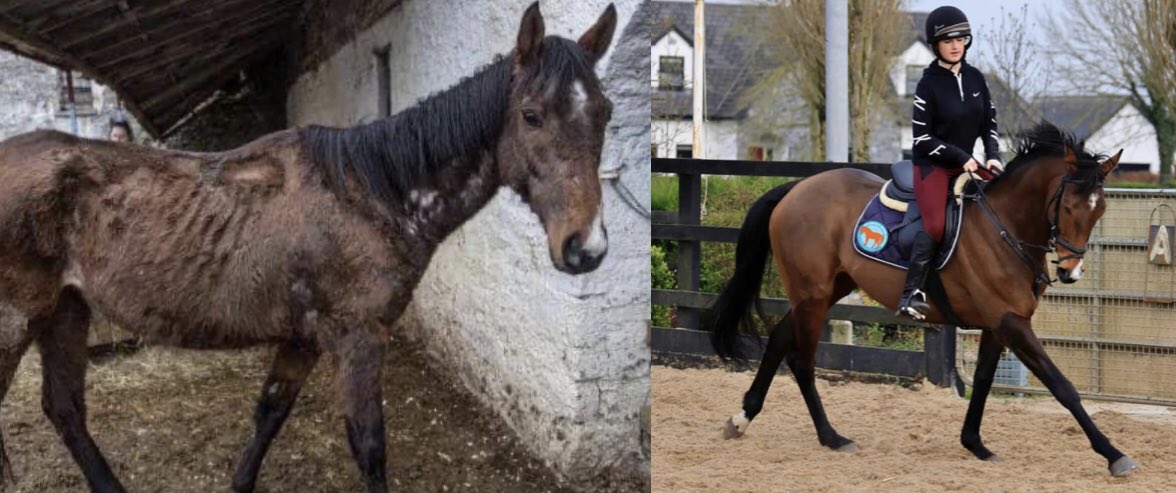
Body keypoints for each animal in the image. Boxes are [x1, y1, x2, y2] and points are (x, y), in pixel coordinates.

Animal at [0, 3, 617, 492]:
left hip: (64, 312)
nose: (585, 248)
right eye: (531, 115)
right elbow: (369, 447)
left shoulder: (303, 338)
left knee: (66, 410)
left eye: (606, 112)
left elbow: (270, 412)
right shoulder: (360, 337)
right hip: (18, 320)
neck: (371, 193)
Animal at [708, 122, 1140, 477]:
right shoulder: (1012, 324)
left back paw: (742, 418)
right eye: (1067, 206)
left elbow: (983, 380)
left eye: (1099, 210)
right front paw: (1114, 454)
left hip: (826, 290)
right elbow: (1061, 385)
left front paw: (975, 444)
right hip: (812, 295)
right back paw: (832, 437)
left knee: (780, 339)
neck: (1005, 228)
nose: (1070, 272)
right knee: (801, 360)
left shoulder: (999, 324)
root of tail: (797, 188)